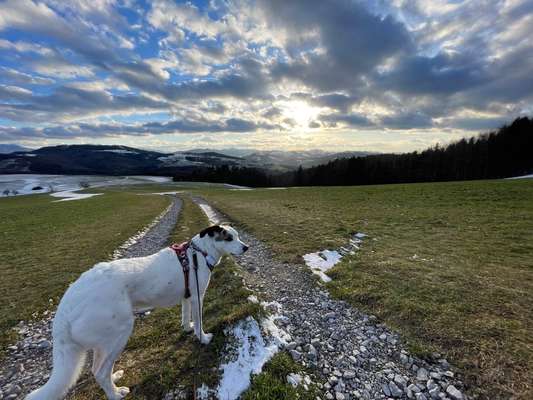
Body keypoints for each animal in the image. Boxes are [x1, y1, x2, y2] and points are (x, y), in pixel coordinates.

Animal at [26, 225, 248, 400]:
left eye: (238, 236)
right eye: (229, 238)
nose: (246, 247)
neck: (199, 253)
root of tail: (66, 306)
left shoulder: (187, 296)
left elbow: (186, 317)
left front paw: (187, 328)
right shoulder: (197, 297)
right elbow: (200, 322)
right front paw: (202, 338)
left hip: (104, 342)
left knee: (99, 369)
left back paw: (115, 379)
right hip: (119, 332)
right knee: (99, 372)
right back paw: (116, 394)